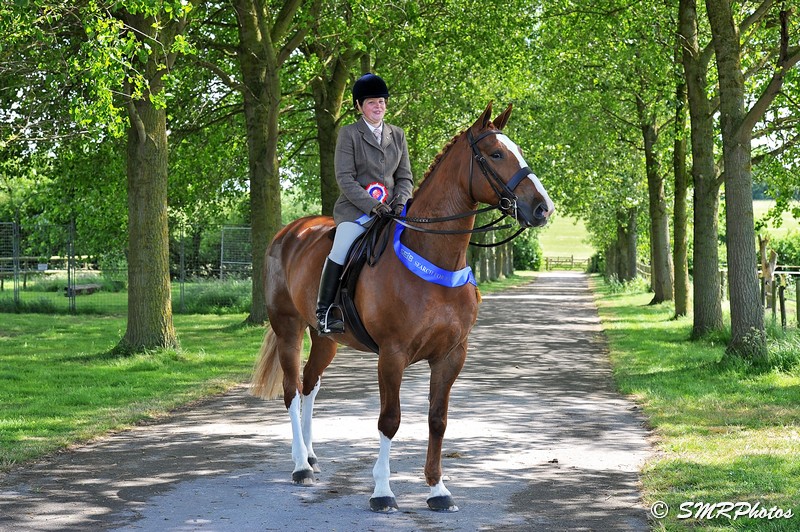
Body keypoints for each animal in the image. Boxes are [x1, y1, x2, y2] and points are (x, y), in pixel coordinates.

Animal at [253, 102, 552, 512]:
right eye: (495, 154)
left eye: (517, 150)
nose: (542, 208)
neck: (434, 256)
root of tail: (289, 232)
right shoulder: (392, 355)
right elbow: (389, 420)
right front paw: (382, 492)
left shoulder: (451, 355)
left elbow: (437, 419)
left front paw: (438, 490)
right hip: (288, 328)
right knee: (291, 389)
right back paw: (300, 466)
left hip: (326, 338)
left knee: (310, 384)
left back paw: (312, 456)